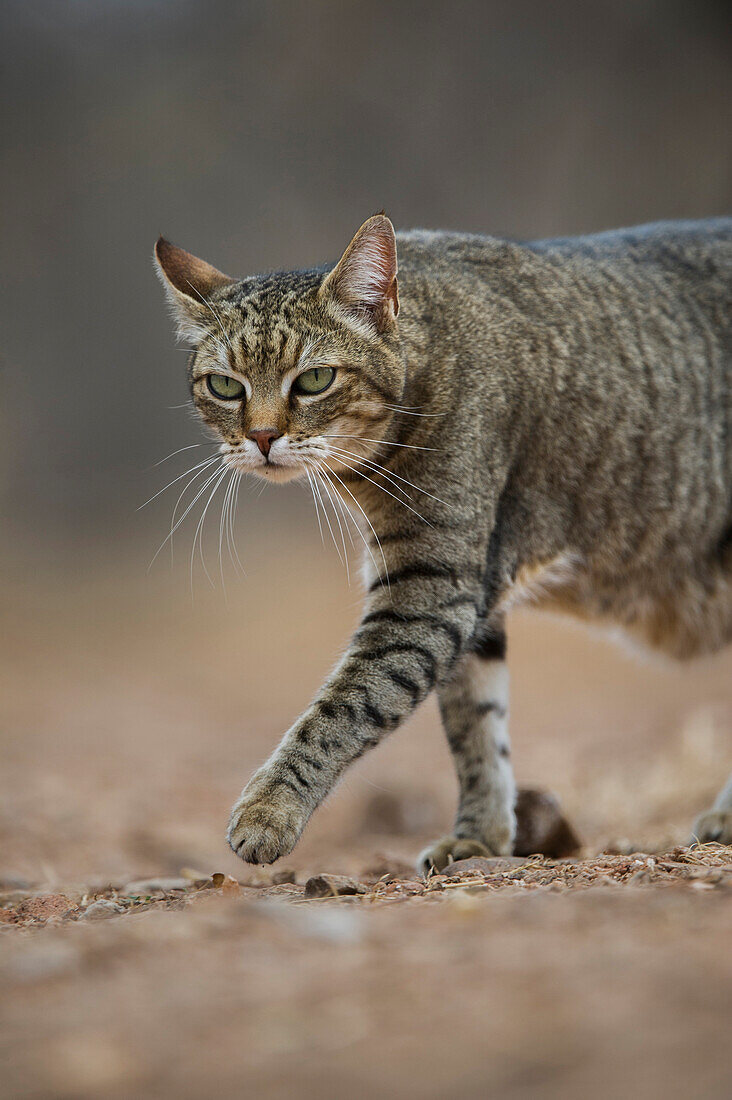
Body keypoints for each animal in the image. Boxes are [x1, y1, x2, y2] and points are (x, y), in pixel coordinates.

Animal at [154, 214, 730, 866]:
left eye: (315, 379)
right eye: (225, 387)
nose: (262, 437)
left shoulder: (430, 589)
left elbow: (346, 704)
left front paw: (269, 809)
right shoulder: (465, 592)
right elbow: (474, 722)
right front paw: (482, 834)